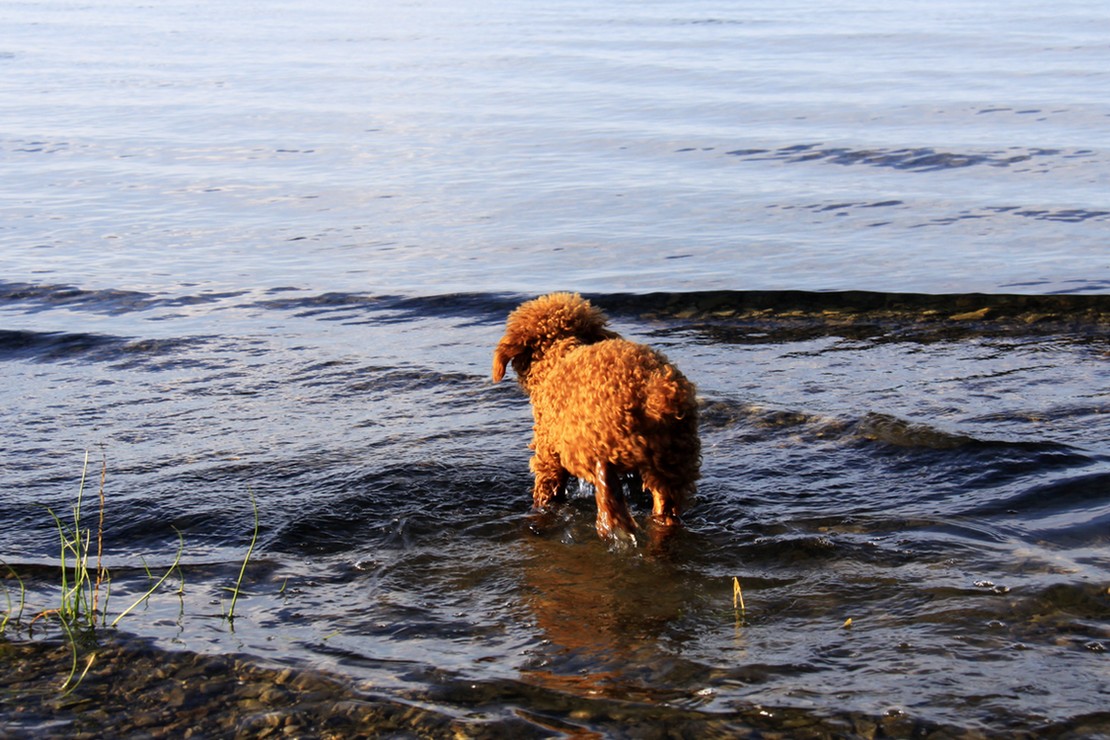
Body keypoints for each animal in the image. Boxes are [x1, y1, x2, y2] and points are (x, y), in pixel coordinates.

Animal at [492, 292, 697, 541]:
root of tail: (654, 391)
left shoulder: (548, 454)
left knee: (611, 501)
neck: (559, 355)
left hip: (594, 449)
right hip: (674, 462)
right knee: (664, 510)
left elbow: (545, 491)